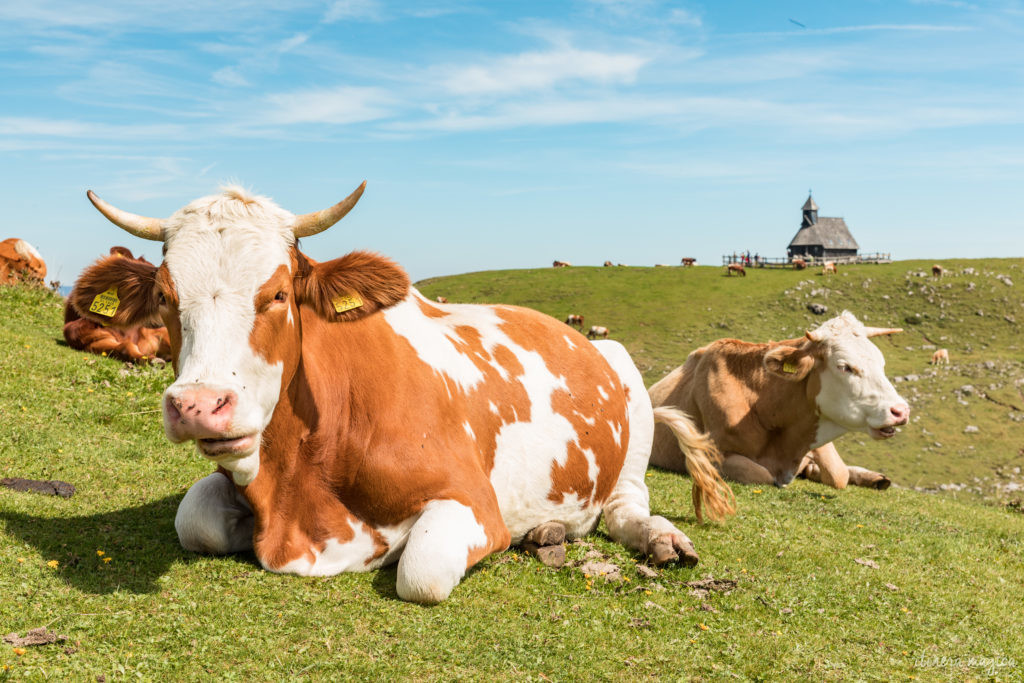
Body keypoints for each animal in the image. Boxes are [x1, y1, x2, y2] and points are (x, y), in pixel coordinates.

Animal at [72, 181, 720, 602]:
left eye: (278, 294)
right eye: (164, 296)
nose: (199, 406)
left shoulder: (471, 500)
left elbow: (422, 573)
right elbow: (195, 518)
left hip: (631, 397)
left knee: (625, 507)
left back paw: (661, 539)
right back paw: (548, 530)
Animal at [651, 313, 909, 499]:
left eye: (881, 363)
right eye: (844, 366)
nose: (901, 411)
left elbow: (839, 475)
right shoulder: (705, 455)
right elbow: (761, 474)